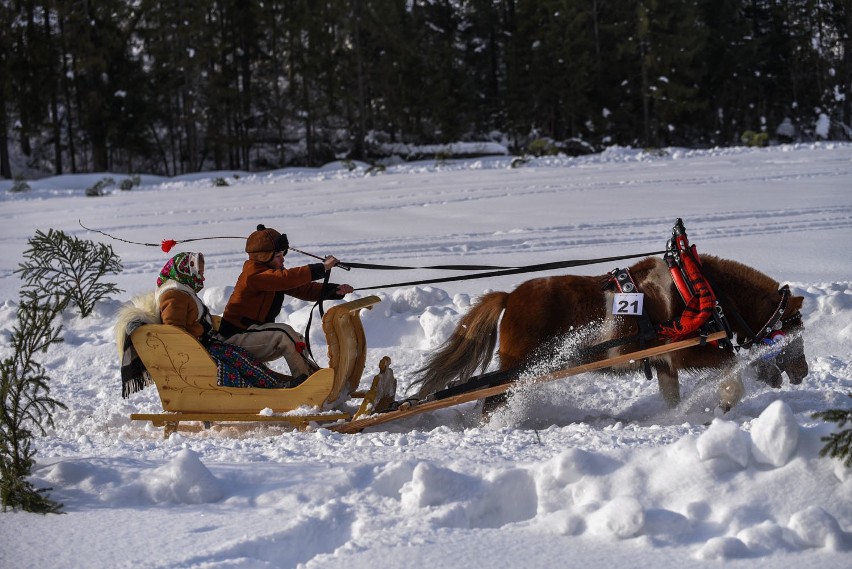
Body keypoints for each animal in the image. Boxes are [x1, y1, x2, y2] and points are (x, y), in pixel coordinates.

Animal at [410, 255, 808, 414]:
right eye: (793, 327)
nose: (803, 372)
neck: (699, 286)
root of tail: (510, 296)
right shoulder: (686, 349)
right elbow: (730, 366)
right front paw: (726, 401)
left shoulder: (665, 363)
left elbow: (671, 396)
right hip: (517, 368)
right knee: (493, 401)